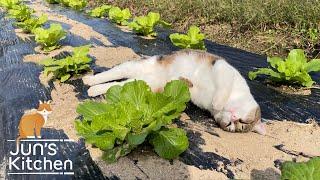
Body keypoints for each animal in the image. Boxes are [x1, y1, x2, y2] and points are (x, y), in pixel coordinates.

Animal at [82, 50, 264, 134]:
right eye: (244, 122)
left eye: (233, 126)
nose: (233, 119)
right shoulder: (222, 67)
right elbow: (223, 87)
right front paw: (218, 102)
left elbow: (185, 85)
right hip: (133, 66)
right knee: (112, 73)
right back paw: (90, 80)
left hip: (142, 83)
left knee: (116, 86)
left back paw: (93, 88)